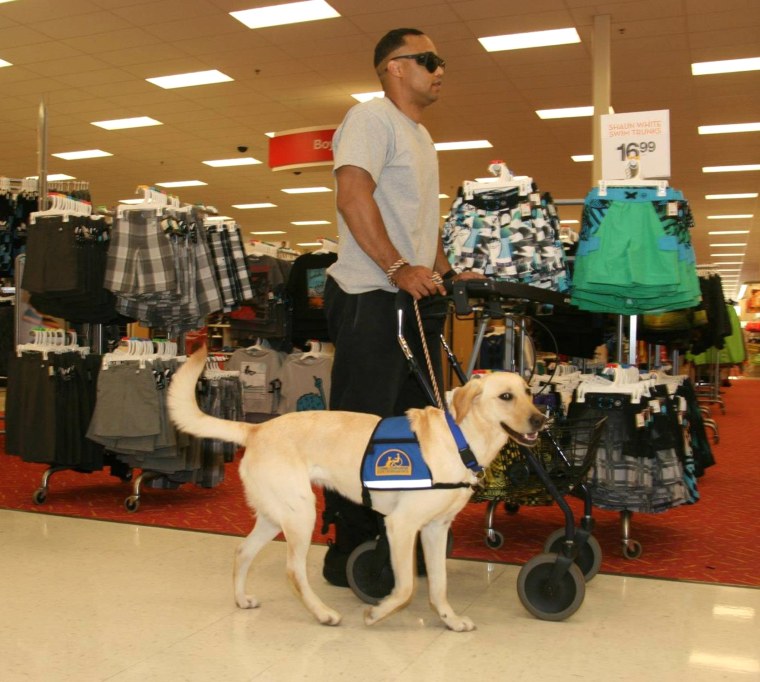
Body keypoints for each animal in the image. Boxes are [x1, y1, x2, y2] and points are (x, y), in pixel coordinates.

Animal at [168, 348, 544, 628]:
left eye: (528, 392)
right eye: (506, 396)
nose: (542, 419)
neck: (460, 439)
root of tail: (256, 429)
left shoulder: (435, 529)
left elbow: (439, 585)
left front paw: (449, 620)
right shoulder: (401, 526)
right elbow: (406, 586)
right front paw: (378, 612)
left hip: (277, 515)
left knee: (242, 551)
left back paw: (242, 599)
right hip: (302, 513)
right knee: (293, 571)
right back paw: (323, 613)